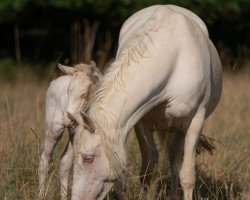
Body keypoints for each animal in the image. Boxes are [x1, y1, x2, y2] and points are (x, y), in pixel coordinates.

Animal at [38, 60, 101, 198]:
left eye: (84, 93)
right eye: (68, 92)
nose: (67, 120)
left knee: (64, 164)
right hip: (54, 130)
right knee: (45, 161)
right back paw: (40, 195)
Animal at [69, 5, 222, 200]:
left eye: (88, 158)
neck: (174, 60)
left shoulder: (195, 122)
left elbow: (187, 176)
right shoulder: (141, 122)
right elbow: (147, 169)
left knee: (175, 159)